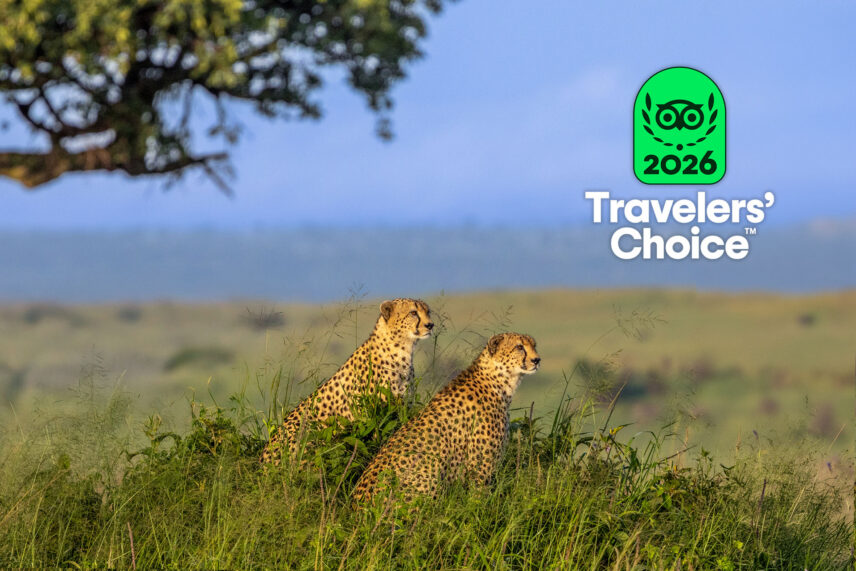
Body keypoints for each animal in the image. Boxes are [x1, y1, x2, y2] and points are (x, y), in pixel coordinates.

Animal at [260, 298, 433, 465]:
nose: (430, 325)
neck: (402, 349)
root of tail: (263, 459)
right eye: (413, 313)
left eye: (428, 312)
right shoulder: (370, 415)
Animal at [351, 332, 540, 502]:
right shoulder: (480, 467)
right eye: (519, 347)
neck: (499, 381)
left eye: (534, 345)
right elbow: (478, 501)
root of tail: (356, 505)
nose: (537, 360)